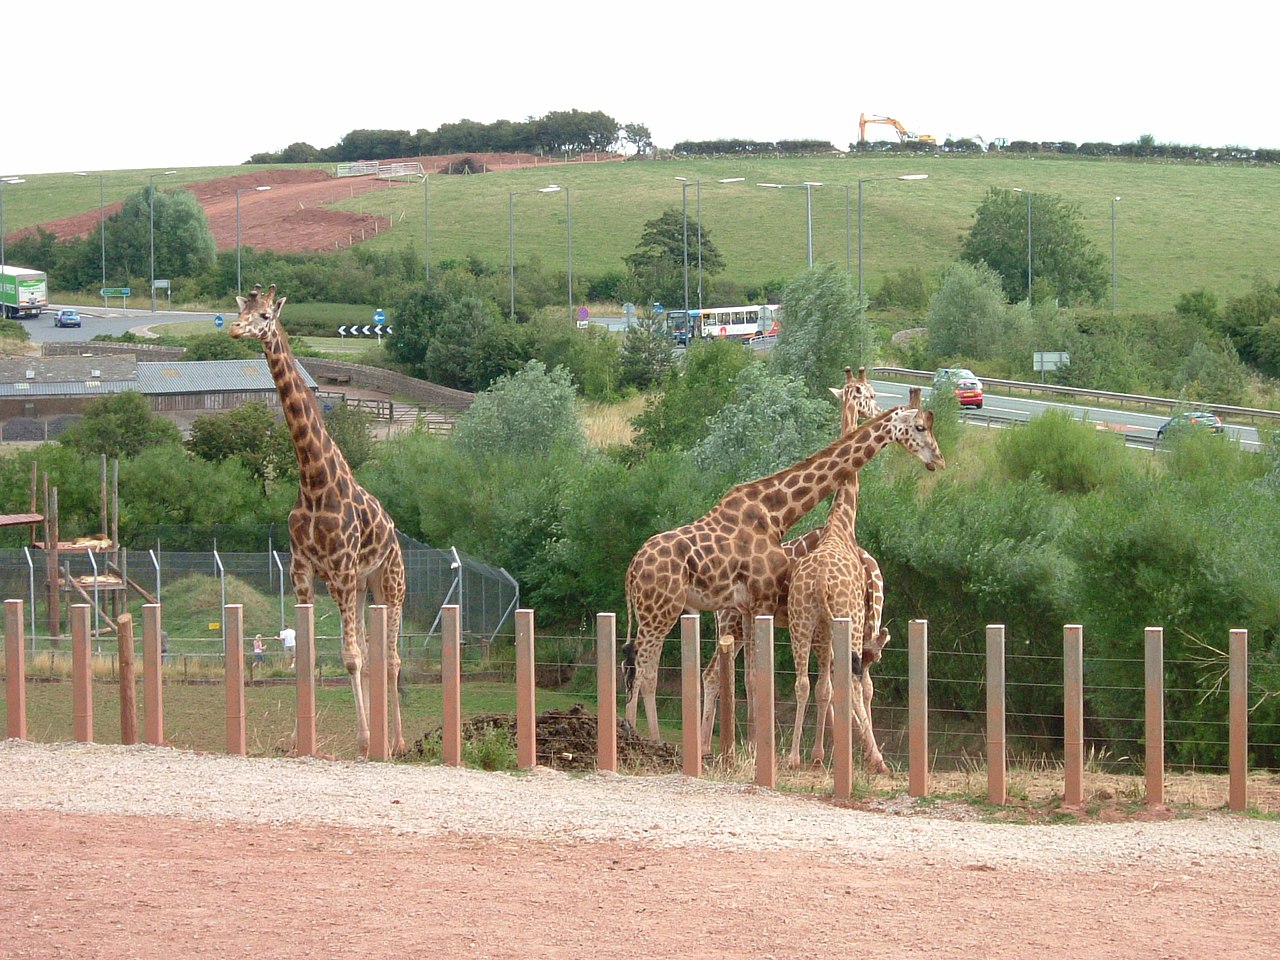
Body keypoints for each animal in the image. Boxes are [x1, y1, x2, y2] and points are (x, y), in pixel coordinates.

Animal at [230, 284, 404, 757]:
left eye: (266, 315)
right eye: (241, 308)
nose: (234, 329)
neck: (313, 481)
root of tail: (395, 536)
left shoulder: (340, 570)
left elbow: (351, 658)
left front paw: (363, 741)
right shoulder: (303, 571)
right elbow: (306, 656)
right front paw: (295, 739)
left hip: (390, 583)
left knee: (391, 658)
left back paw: (397, 742)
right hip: (364, 587)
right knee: (374, 652)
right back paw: (386, 736)